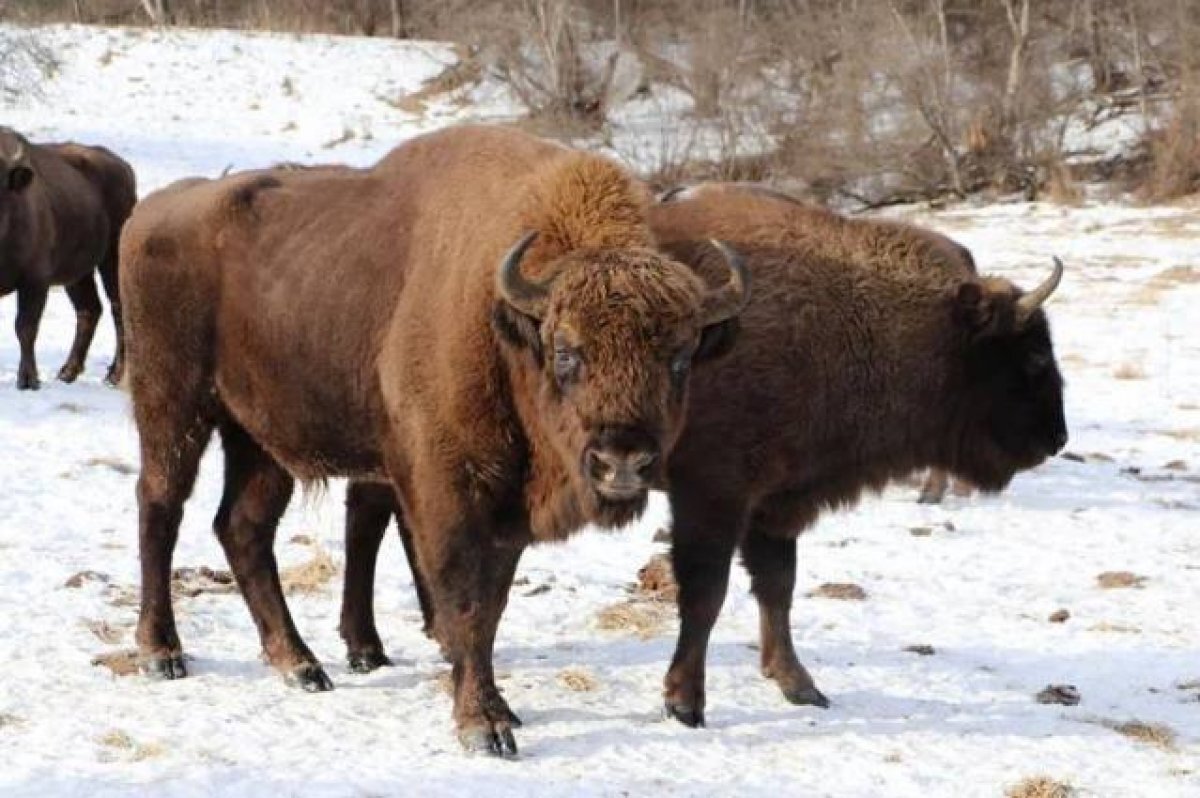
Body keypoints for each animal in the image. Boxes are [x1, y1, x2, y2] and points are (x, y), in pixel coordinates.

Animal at [0, 124, 136, 388]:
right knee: (89, 310)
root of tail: (124, 168)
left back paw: (115, 375)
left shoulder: (35, 281)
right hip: (78, 274)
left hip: (112, 259)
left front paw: (28, 380)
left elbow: (25, 327)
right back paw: (68, 372)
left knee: (118, 308)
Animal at [117, 127, 744, 758]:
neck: (504, 324)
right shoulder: (445, 490)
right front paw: (483, 726)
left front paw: (499, 710)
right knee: (160, 506)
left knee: (242, 528)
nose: (623, 462)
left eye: (680, 358)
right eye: (567, 351)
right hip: (174, 407)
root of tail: (149, 213)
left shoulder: (507, 514)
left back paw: (300, 665)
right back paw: (162, 653)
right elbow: (461, 598)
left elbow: (491, 605)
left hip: (260, 441)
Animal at [338, 178, 1070, 729]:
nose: (1055, 438)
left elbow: (777, 586)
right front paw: (685, 702)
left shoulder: (774, 504)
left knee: (374, 512)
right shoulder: (713, 495)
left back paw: (389, 643)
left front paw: (799, 684)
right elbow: (707, 593)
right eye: (1032, 357)